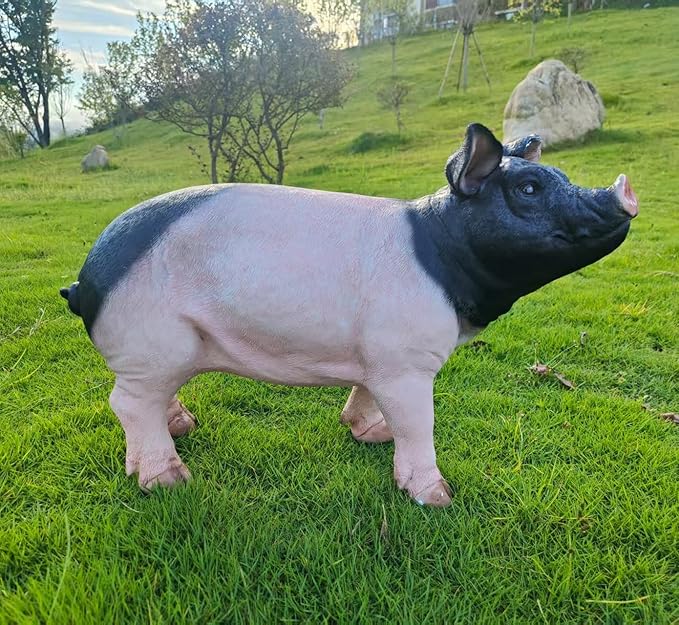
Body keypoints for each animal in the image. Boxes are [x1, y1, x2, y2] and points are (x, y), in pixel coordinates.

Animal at [60, 123, 638, 506]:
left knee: (149, 399)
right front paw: (437, 498)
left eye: (558, 174)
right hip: (154, 342)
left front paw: (371, 434)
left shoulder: (377, 356)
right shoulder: (405, 361)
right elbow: (419, 422)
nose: (625, 190)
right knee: (126, 403)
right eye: (528, 189)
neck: (442, 254)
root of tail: (85, 279)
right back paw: (169, 481)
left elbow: (366, 396)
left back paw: (184, 427)